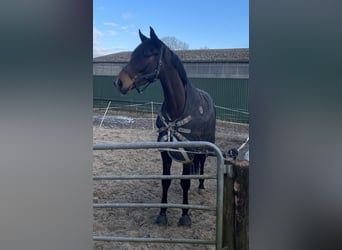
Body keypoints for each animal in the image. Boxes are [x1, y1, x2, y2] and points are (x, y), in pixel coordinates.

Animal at [115, 27, 216, 227]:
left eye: (148, 53)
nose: (120, 82)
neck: (177, 107)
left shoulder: (188, 153)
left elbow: (185, 183)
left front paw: (185, 215)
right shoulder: (165, 152)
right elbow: (165, 181)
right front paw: (162, 214)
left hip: (206, 144)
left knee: (202, 161)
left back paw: (201, 185)